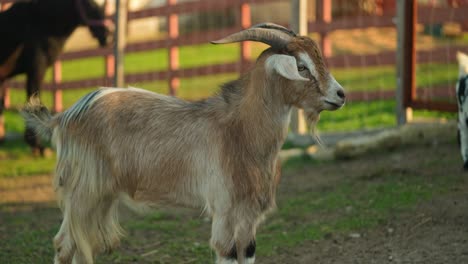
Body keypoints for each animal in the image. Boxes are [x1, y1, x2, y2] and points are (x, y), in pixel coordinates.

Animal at [22, 23, 344, 264]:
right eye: (301, 67)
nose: (340, 95)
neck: (239, 131)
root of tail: (64, 117)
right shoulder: (224, 208)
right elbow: (227, 252)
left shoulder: (248, 214)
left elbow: (248, 251)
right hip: (83, 192)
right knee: (64, 245)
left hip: (101, 195)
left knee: (81, 245)